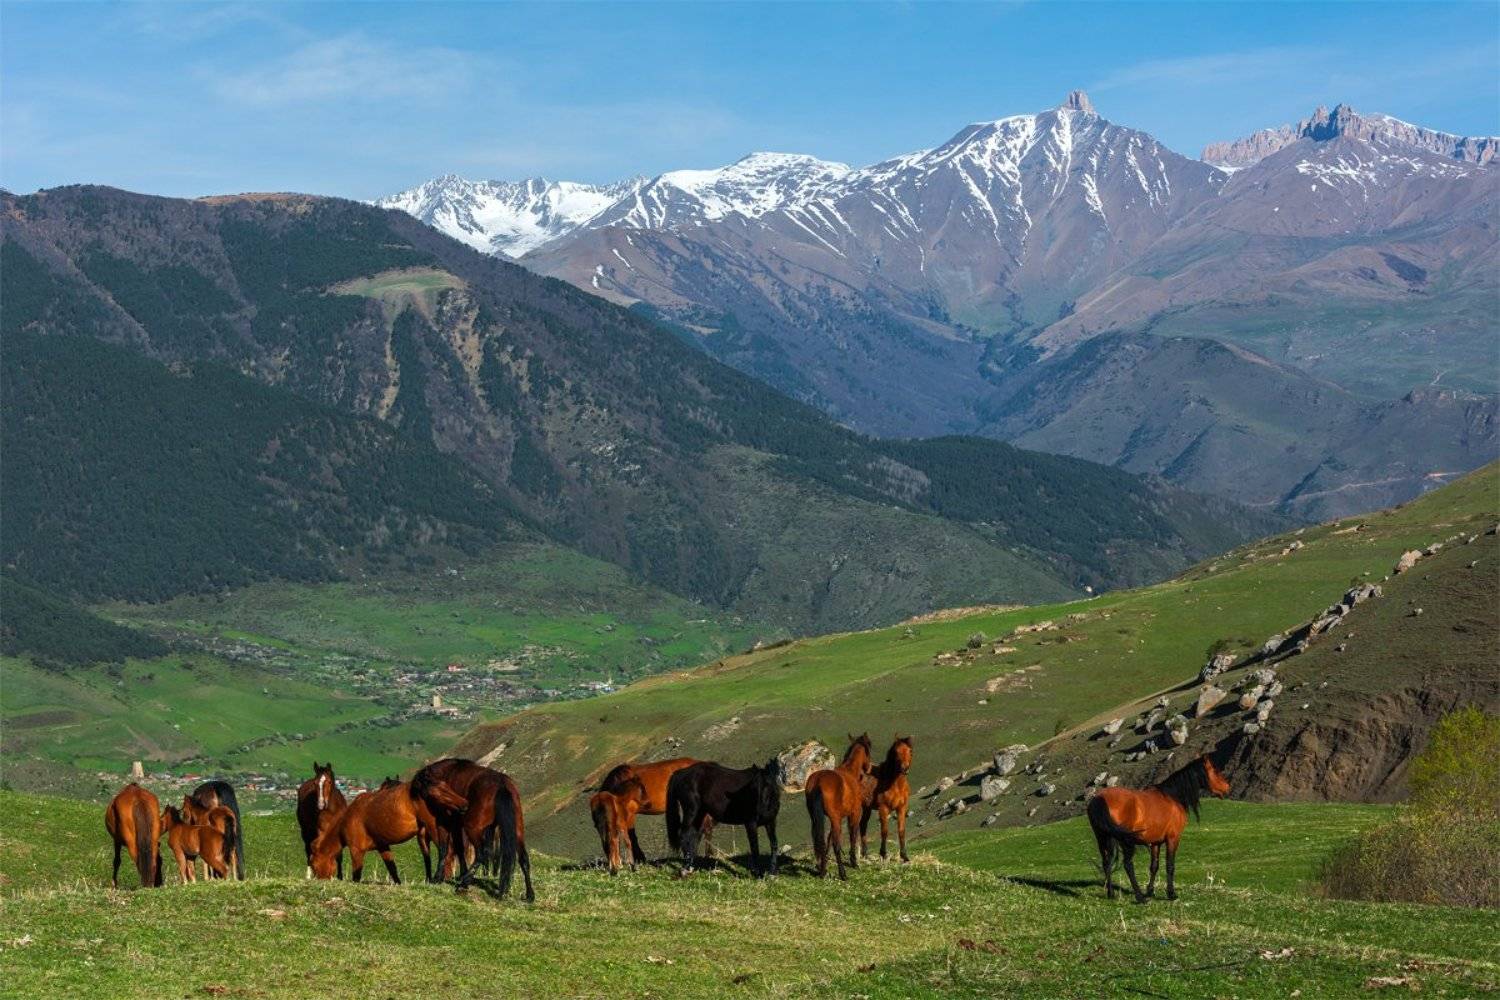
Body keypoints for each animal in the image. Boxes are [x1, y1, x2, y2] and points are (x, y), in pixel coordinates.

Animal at [309, 780, 459, 883]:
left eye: (314, 865)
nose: (320, 880)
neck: (346, 818)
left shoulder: (356, 850)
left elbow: (356, 875)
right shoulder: (382, 846)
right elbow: (392, 869)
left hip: (433, 828)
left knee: (447, 851)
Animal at [410, 758, 534, 899]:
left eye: (445, 787)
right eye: (440, 789)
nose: (463, 804)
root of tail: (501, 785)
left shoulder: (444, 822)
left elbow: (444, 848)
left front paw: (438, 877)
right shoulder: (458, 825)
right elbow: (459, 849)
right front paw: (461, 874)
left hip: (472, 828)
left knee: (481, 854)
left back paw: (464, 884)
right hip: (517, 830)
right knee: (523, 858)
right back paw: (529, 895)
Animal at [805, 733, 874, 879]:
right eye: (869, 746)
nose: (869, 768)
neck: (850, 773)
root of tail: (818, 782)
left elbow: (829, 839)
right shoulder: (854, 814)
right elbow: (853, 835)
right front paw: (854, 862)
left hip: (817, 819)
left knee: (818, 840)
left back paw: (821, 870)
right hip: (836, 819)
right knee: (836, 844)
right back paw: (843, 874)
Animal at [1087, 754, 1231, 903]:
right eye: (1215, 771)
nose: (1227, 787)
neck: (1173, 797)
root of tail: (1100, 797)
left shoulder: (1155, 842)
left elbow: (1154, 867)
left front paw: (1150, 891)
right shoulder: (1173, 839)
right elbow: (1170, 866)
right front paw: (1171, 894)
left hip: (1103, 838)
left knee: (1106, 862)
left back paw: (1111, 894)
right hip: (1124, 841)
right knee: (1127, 864)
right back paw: (1139, 897)